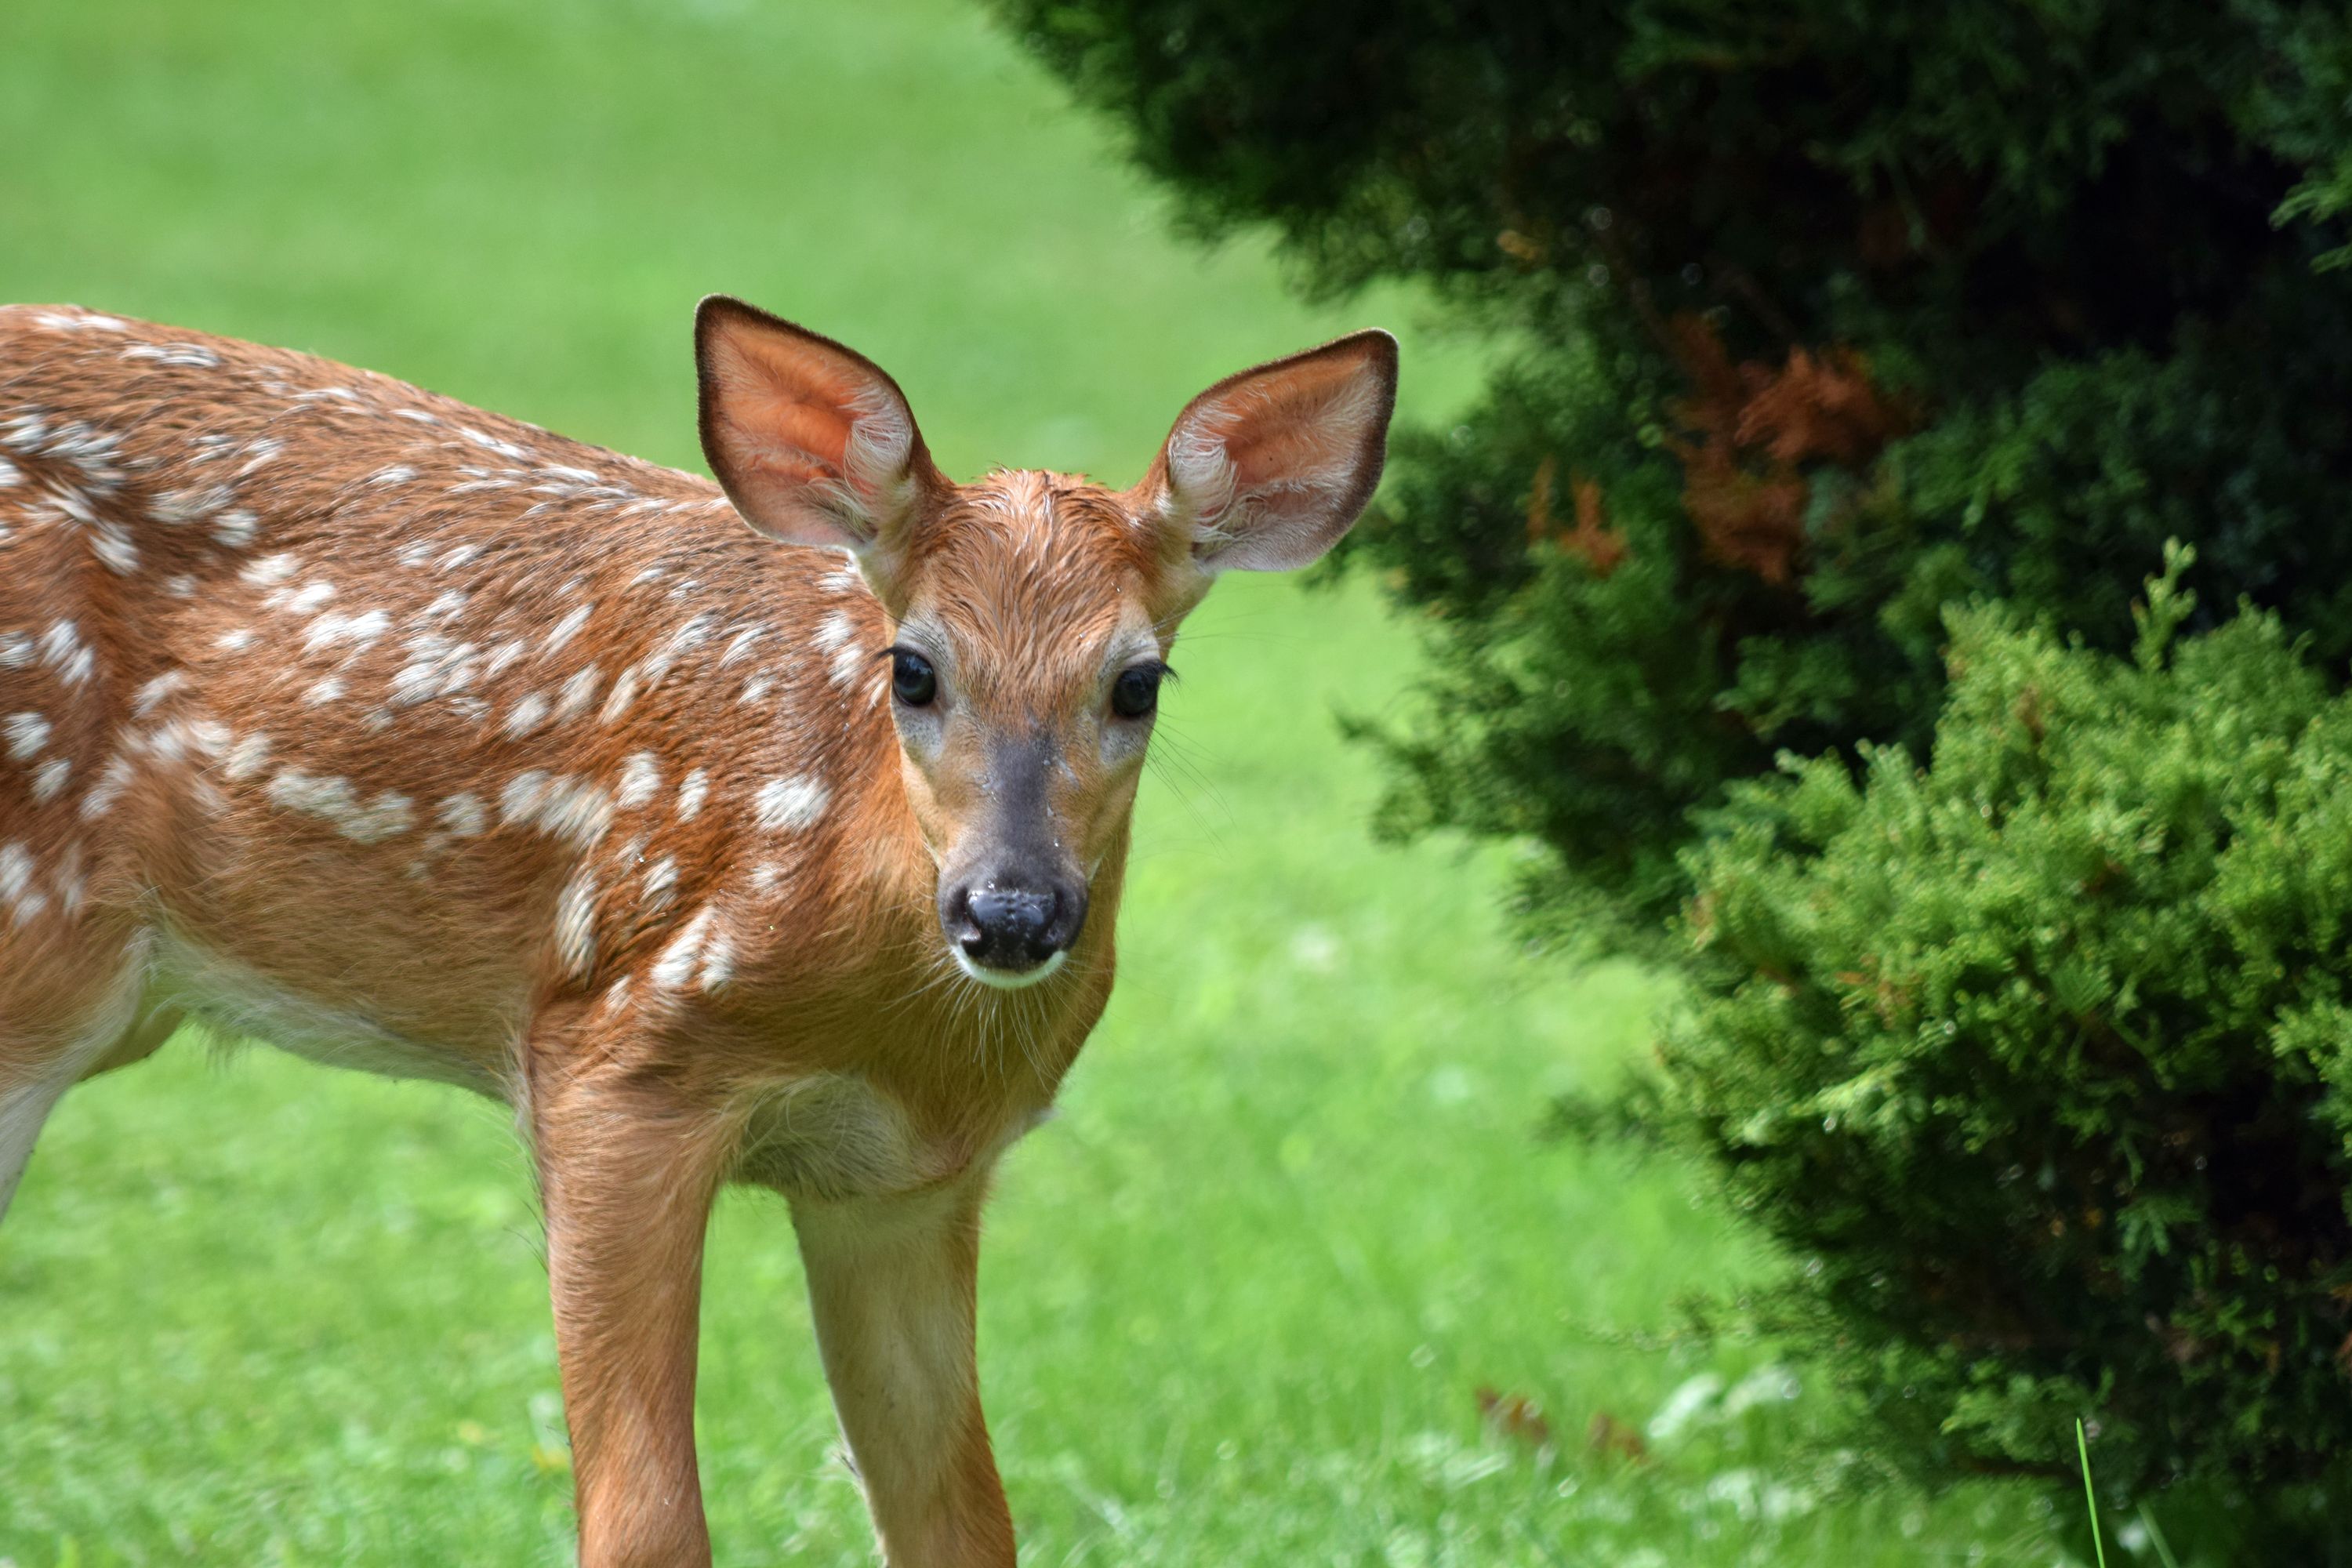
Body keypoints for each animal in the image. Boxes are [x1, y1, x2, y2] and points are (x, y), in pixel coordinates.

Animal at [0, 300, 1392, 1561]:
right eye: (914, 668)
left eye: (1137, 682)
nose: (1010, 911)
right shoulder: (613, 1056)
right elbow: (646, 1523)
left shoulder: (903, 1183)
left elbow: (960, 1526)